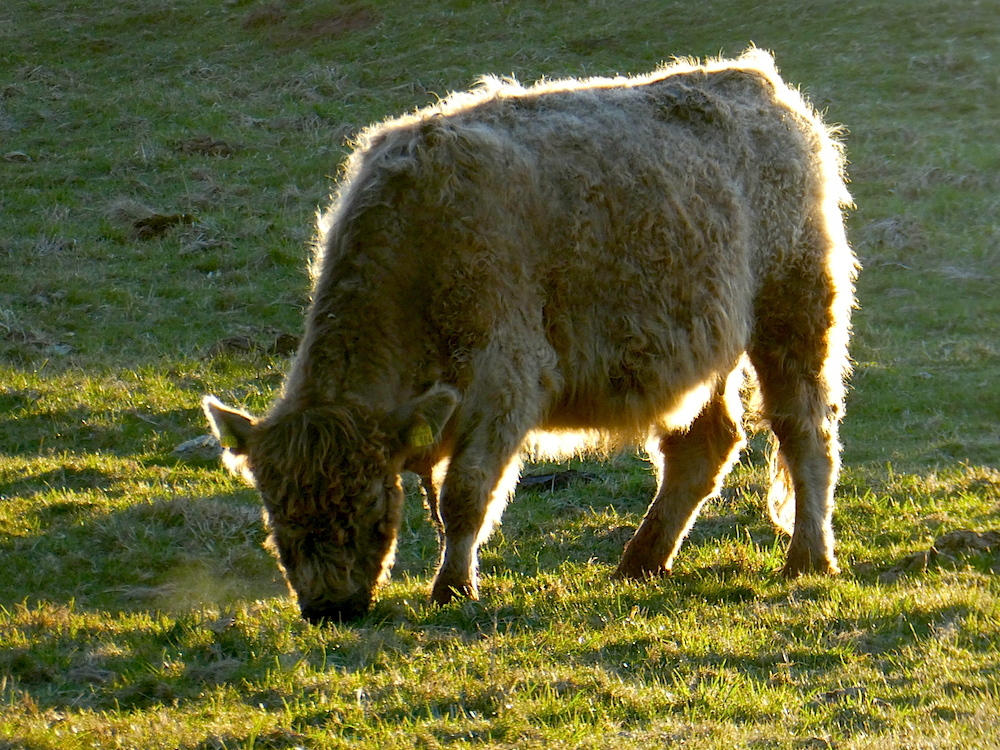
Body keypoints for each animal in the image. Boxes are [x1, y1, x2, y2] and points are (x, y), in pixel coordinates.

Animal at [205, 47, 860, 624]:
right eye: (277, 522)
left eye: (368, 510)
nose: (330, 609)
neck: (415, 244)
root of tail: (759, 84)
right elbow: (441, 499)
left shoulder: (504, 380)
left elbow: (464, 494)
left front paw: (453, 589)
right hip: (708, 350)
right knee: (703, 448)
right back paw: (639, 563)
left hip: (795, 316)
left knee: (805, 430)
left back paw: (807, 559)